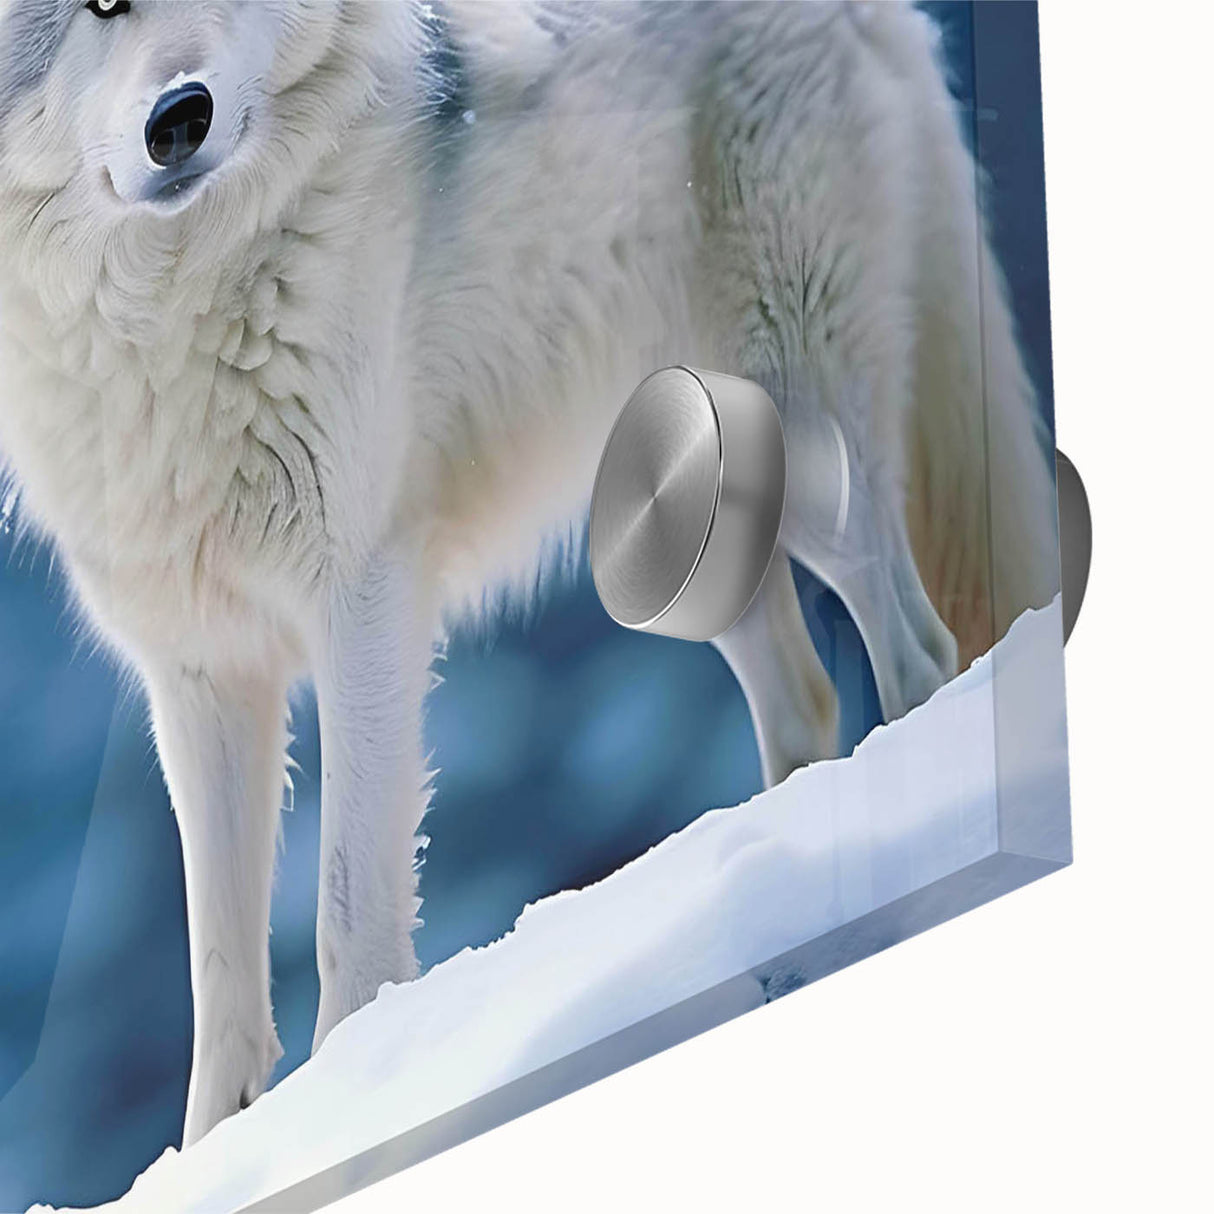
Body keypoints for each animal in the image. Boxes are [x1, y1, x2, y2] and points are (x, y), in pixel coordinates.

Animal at [0, 0, 1057, 1144]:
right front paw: (221, 1151)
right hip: (679, 551)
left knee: (919, 649)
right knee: (808, 703)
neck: (165, 313)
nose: (180, 118)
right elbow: (221, 975)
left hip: (813, 454)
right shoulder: (199, 676)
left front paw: (351, 1108)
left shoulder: (363, 598)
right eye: (100, 10)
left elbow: (346, 901)